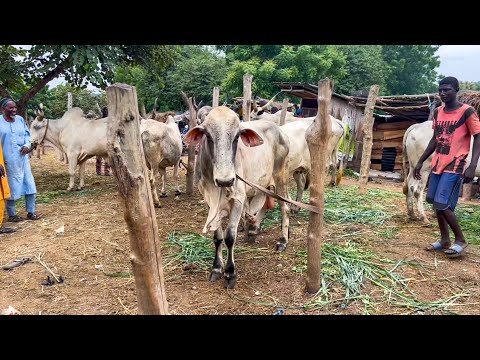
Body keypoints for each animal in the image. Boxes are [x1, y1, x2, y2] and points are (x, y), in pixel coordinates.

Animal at [183, 105, 288, 288]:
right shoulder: (210, 203)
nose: (225, 180)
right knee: (263, 205)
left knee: (285, 207)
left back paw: (282, 240)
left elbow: (230, 237)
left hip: (280, 177)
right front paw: (216, 268)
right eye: (208, 136)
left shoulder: (238, 199)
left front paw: (230, 273)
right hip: (261, 184)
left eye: (237, 136)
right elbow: (218, 237)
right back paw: (253, 230)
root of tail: (278, 129)